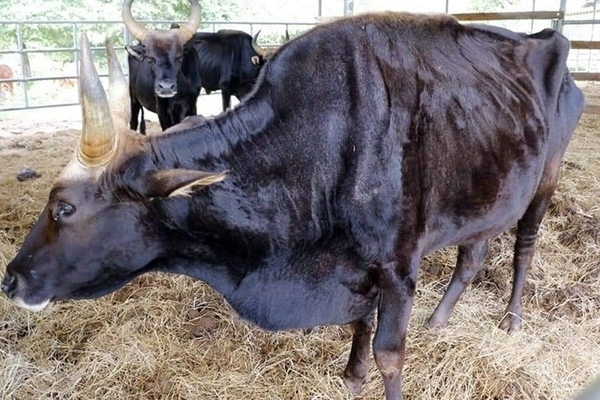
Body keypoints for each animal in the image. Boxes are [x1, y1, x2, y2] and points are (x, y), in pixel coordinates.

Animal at [123, 0, 203, 134]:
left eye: (179, 57)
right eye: (151, 59)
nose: (166, 87)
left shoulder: (192, 105)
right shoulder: (162, 110)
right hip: (133, 97)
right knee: (133, 121)